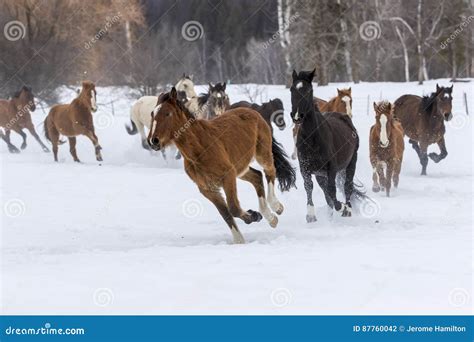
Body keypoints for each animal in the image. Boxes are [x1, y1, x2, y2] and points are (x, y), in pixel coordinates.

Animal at [148, 87, 296, 243]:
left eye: (167, 113)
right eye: (152, 114)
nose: (153, 141)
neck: (199, 149)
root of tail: (254, 112)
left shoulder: (227, 176)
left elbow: (233, 208)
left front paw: (254, 215)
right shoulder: (207, 189)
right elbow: (225, 213)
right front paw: (240, 239)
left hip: (262, 154)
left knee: (270, 172)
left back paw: (276, 208)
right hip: (240, 168)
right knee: (257, 176)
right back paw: (269, 217)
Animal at [290, 70, 362, 222]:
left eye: (308, 90)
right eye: (292, 89)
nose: (297, 116)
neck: (312, 138)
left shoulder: (331, 169)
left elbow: (332, 190)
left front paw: (341, 206)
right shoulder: (305, 169)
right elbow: (309, 187)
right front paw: (311, 215)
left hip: (351, 163)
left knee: (347, 186)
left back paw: (347, 209)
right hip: (320, 174)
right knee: (326, 192)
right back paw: (330, 215)